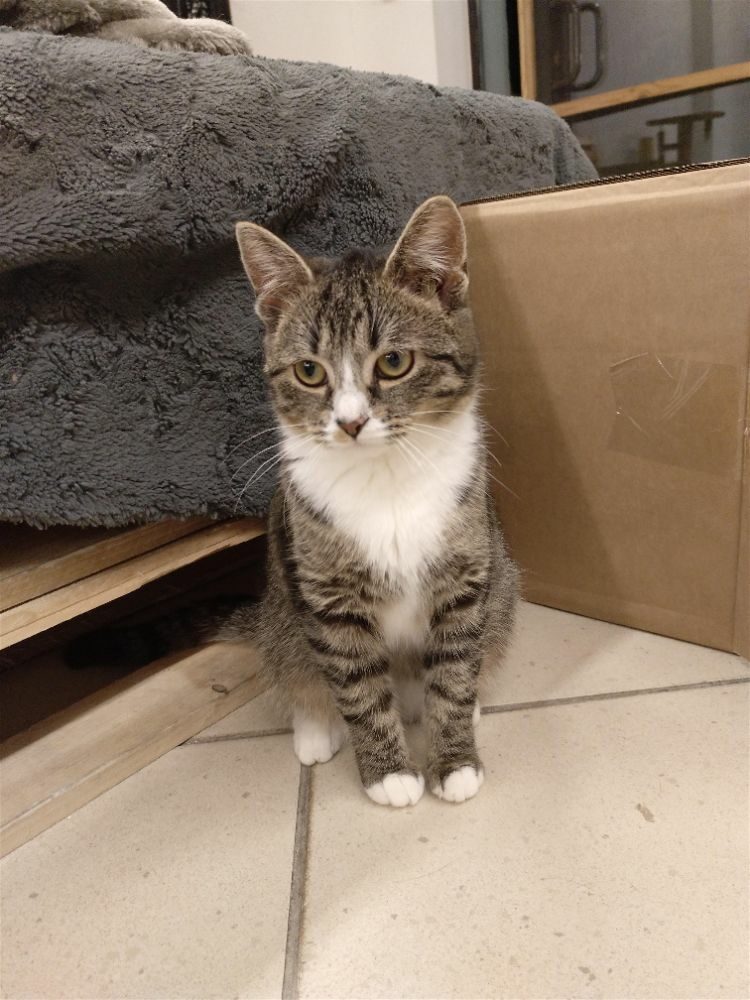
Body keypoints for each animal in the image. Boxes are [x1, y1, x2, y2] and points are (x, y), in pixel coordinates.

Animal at [70, 196, 519, 807]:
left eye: (394, 362)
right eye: (309, 371)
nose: (350, 422)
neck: (385, 475)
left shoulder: (467, 575)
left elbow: (453, 672)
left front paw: (454, 761)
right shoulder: (325, 593)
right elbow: (356, 684)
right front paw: (388, 774)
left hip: (504, 587)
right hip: (283, 609)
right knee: (297, 668)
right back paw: (316, 728)